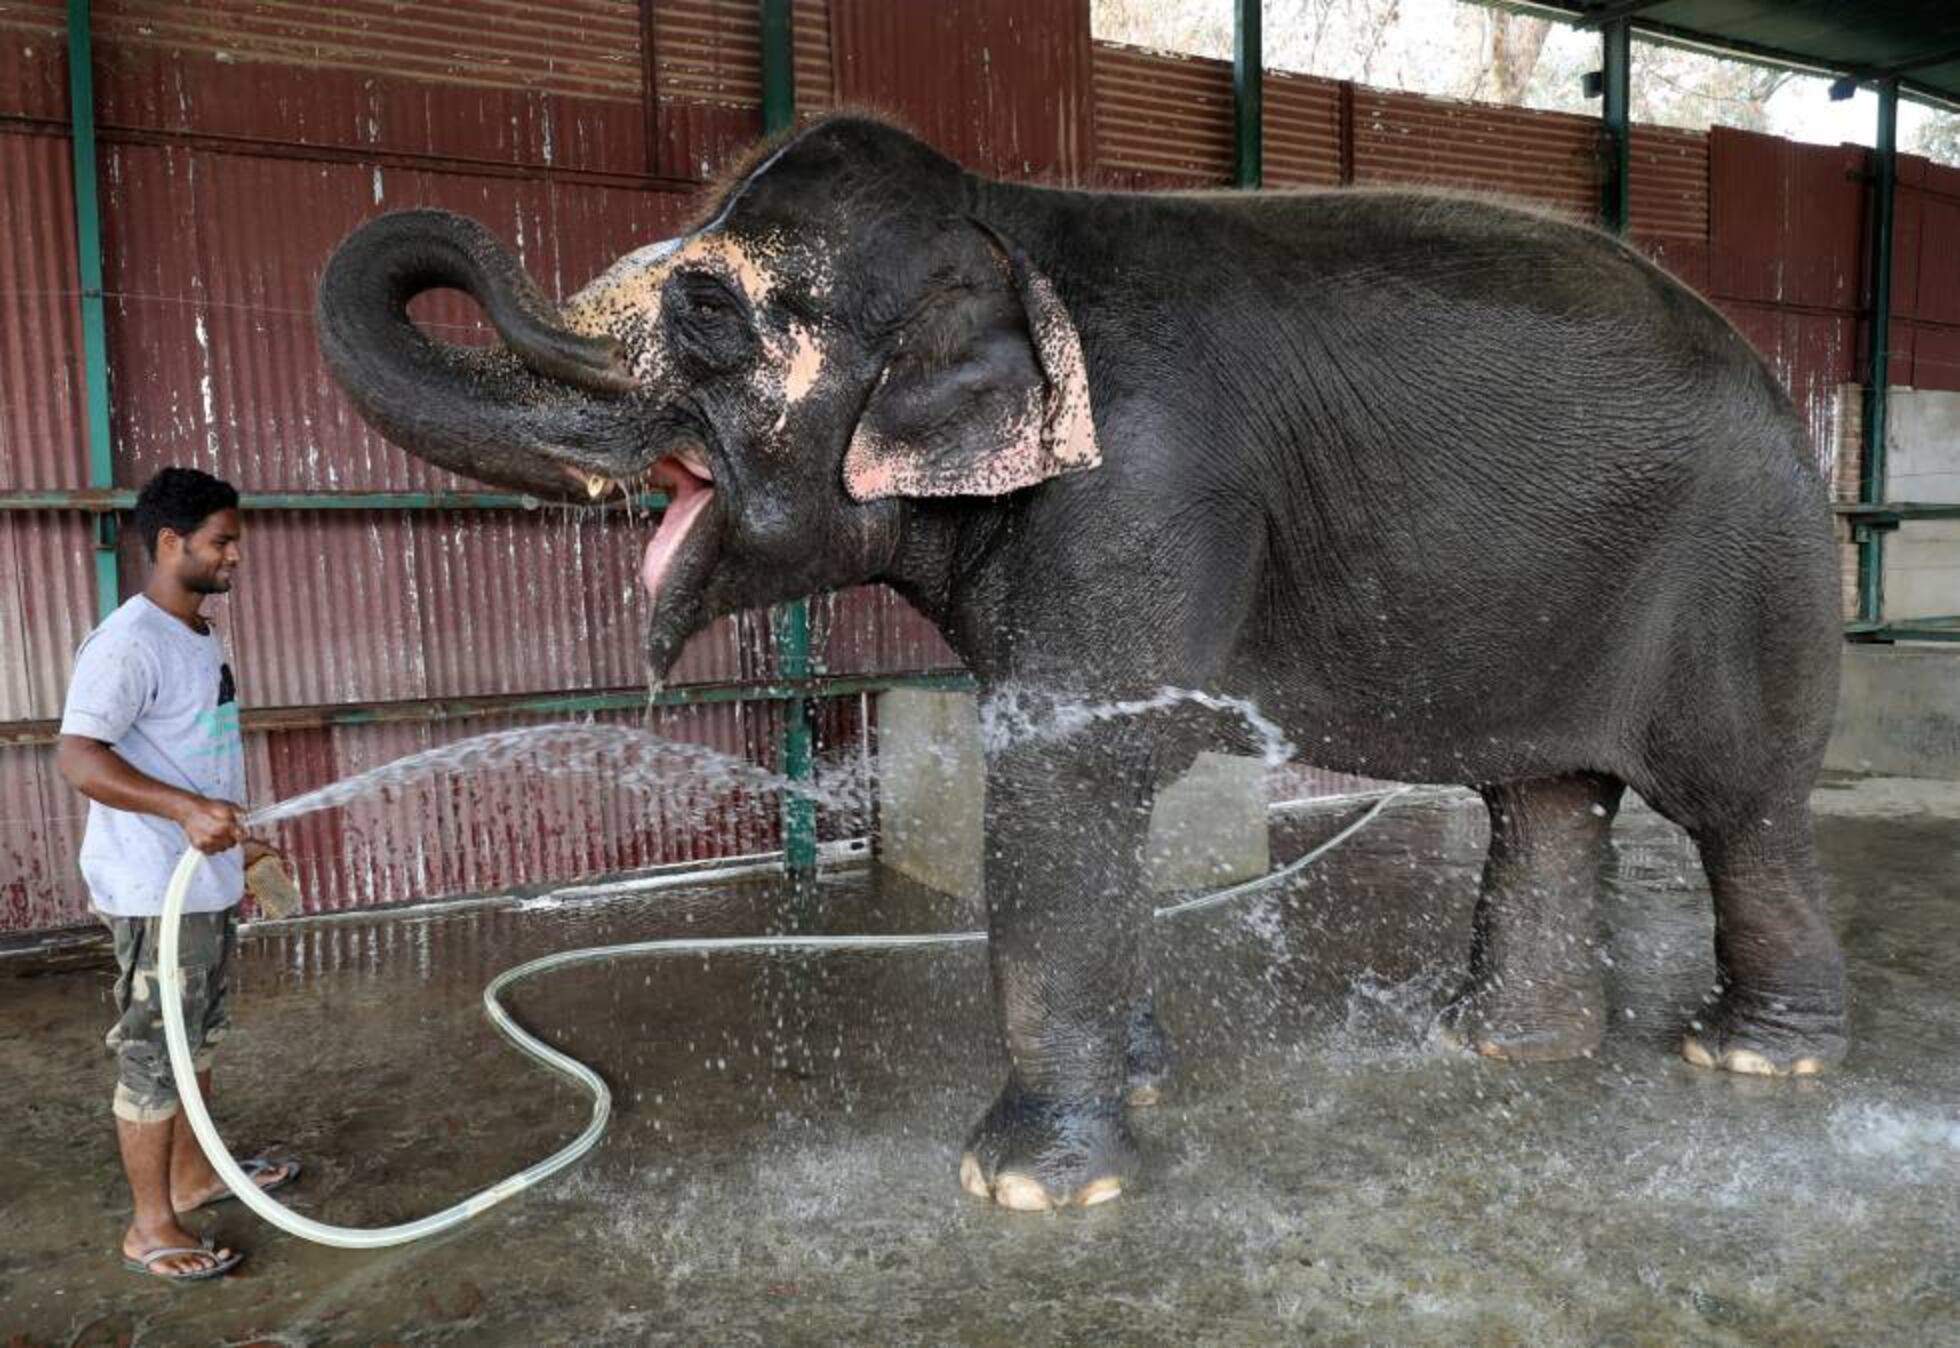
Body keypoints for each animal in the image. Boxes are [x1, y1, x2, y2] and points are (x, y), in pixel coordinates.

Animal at [317, 115, 1848, 1211]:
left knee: (1740, 810)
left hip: (1751, 569)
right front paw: (1142, 1087)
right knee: (1544, 797)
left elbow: (1067, 780)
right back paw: (1494, 1046)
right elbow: (1086, 801)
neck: (1007, 221)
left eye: (704, 310)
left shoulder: (1146, 488)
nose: (450, 222)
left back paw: (1755, 1056)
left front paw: (1024, 1186)